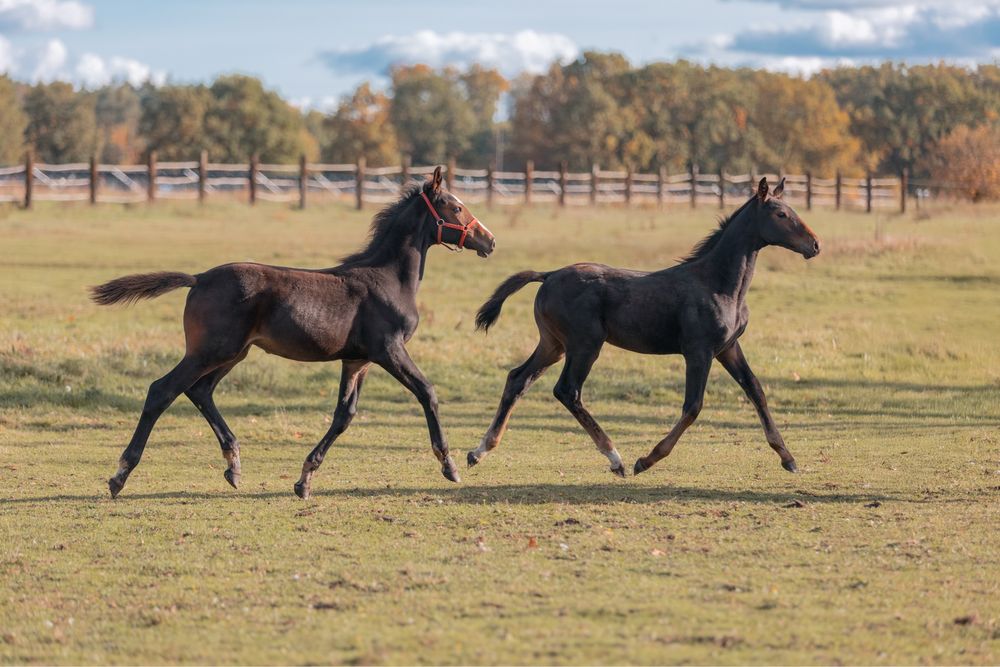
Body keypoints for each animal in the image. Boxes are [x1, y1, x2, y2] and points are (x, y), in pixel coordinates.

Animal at [91, 166, 495, 499]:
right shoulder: (389, 350)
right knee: (163, 390)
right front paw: (449, 464)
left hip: (233, 352)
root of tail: (199, 278)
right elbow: (427, 392)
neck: (389, 279)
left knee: (200, 390)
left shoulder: (357, 360)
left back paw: (233, 466)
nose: (489, 241)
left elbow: (344, 415)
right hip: (210, 351)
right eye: (455, 207)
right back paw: (120, 475)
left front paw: (304, 479)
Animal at [468, 177, 819, 477]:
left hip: (553, 345)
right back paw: (616, 458)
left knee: (518, 379)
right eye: (781, 213)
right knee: (567, 390)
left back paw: (479, 451)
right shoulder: (699, 351)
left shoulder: (728, 348)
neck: (717, 284)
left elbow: (756, 390)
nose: (814, 245)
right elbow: (693, 406)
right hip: (585, 345)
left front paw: (788, 457)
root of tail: (549, 275)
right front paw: (646, 460)